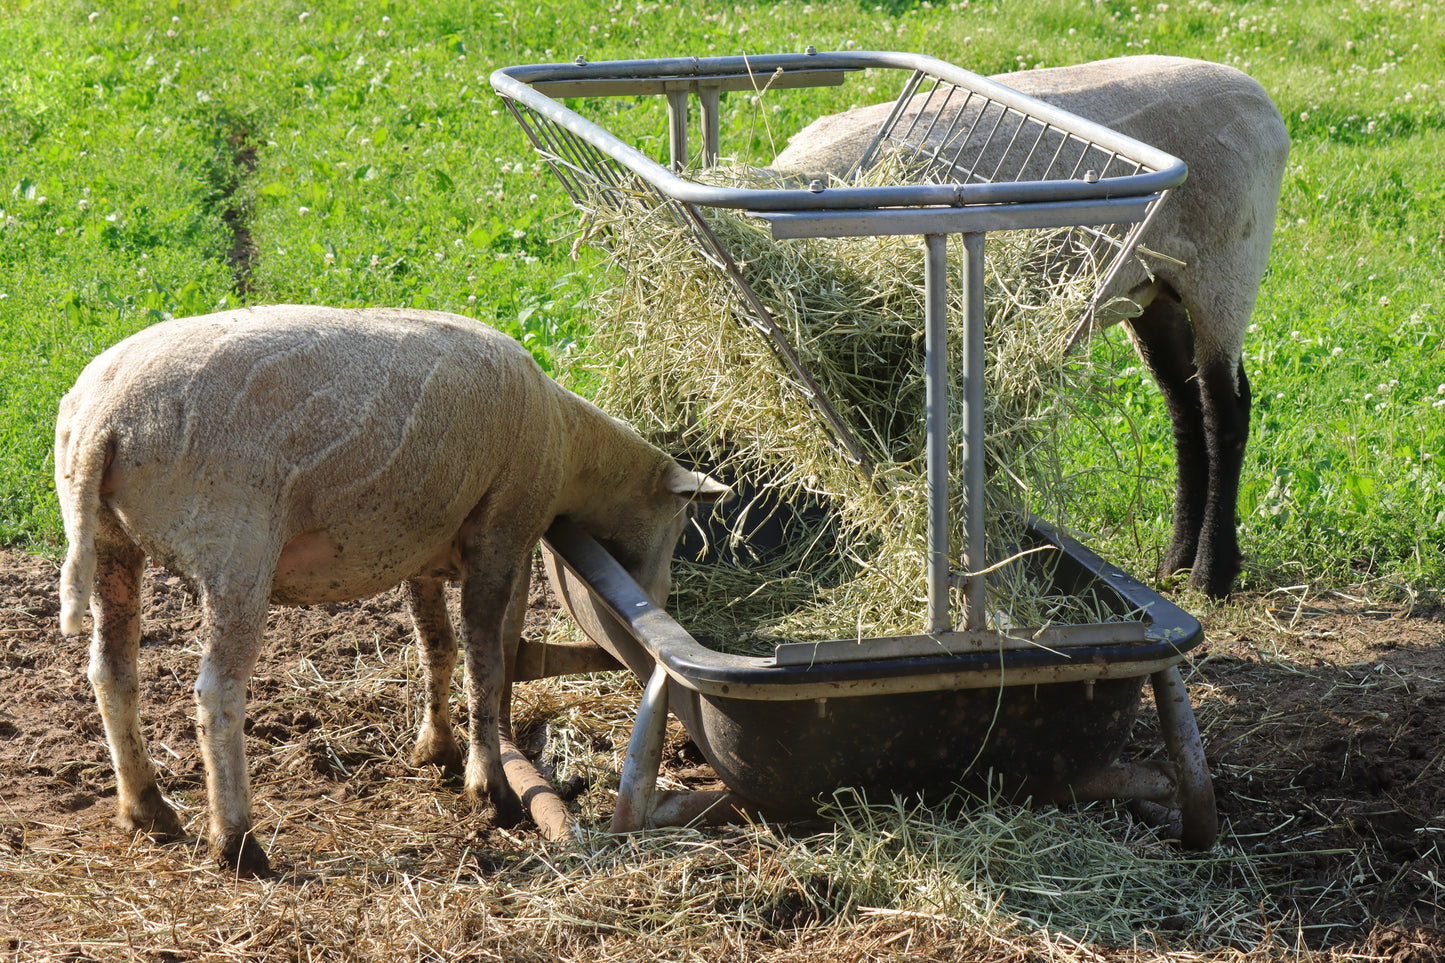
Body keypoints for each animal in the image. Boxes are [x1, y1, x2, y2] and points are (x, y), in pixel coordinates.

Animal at [56, 303, 728, 873]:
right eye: (680, 525)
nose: (661, 598)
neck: (569, 448)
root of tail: (102, 423)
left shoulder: (420, 546)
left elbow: (438, 649)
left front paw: (436, 748)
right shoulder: (501, 532)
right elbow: (484, 660)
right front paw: (490, 786)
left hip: (111, 542)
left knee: (111, 673)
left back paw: (148, 809)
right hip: (235, 545)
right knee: (216, 694)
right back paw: (239, 843)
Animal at [774, 56, 1294, 595]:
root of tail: (1255, 94)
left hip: (1226, 267)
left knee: (1225, 413)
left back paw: (1210, 574)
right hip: (1152, 287)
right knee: (1185, 408)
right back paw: (1175, 561)